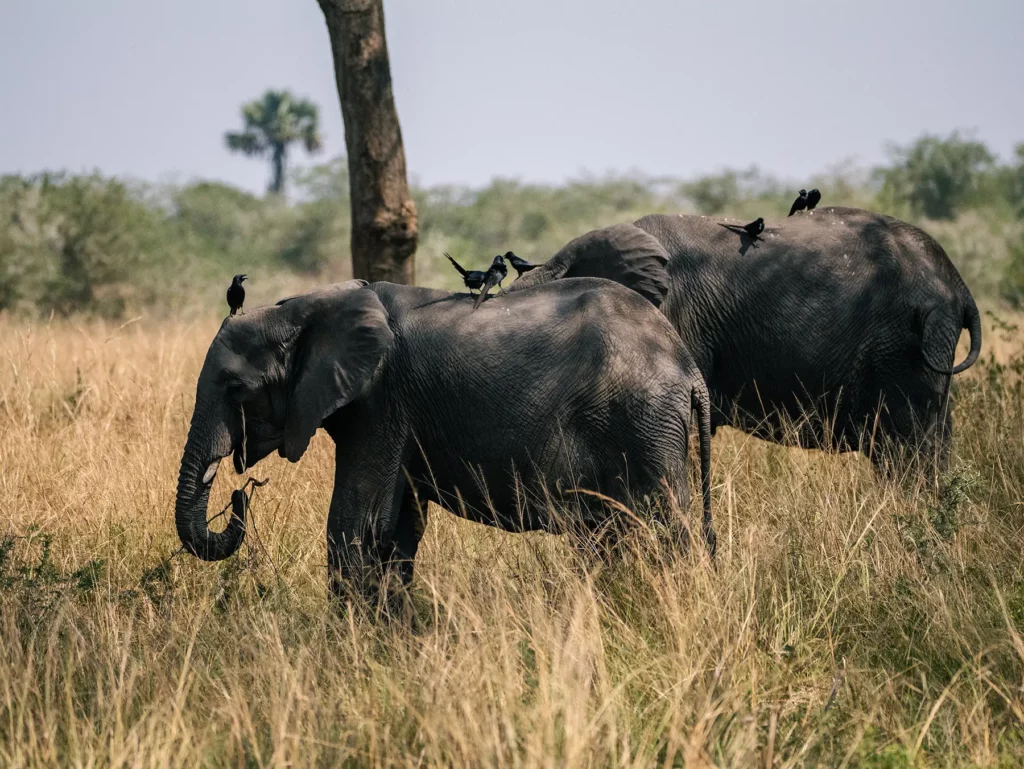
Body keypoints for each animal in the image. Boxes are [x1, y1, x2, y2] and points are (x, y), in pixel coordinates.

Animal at [174, 278, 714, 603]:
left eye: (235, 389)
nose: (239, 494)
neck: (304, 307)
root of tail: (690, 370)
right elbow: (396, 530)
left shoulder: (381, 400)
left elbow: (356, 525)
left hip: (644, 422)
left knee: (663, 529)